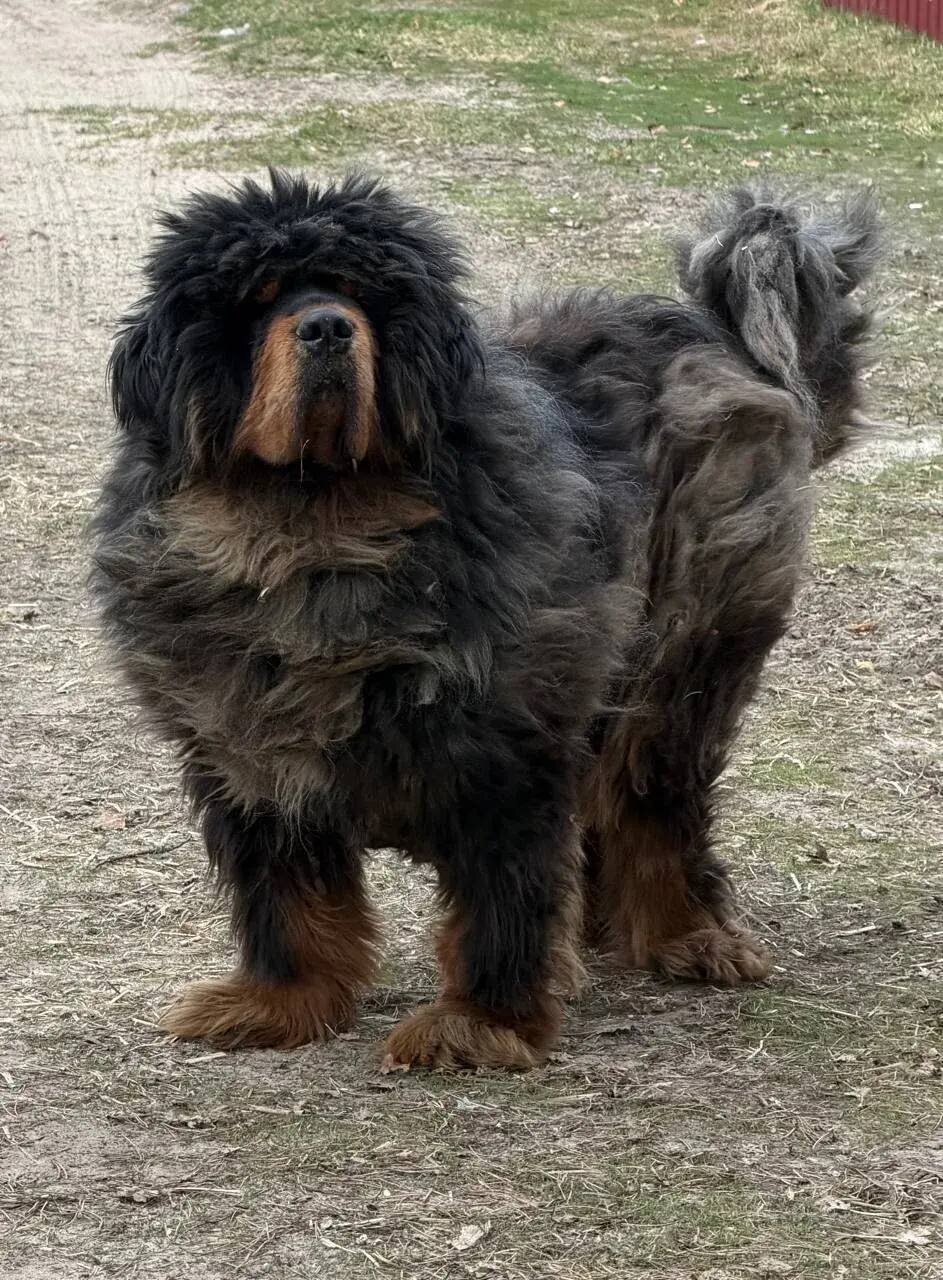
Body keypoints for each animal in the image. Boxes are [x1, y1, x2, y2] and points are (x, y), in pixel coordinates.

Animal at [92, 171, 880, 1069]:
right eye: (257, 302)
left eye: (363, 295)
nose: (327, 326)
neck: (316, 531)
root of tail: (711, 333)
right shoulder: (247, 751)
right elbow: (287, 897)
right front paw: (281, 1001)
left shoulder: (503, 750)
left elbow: (499, 900)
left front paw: (482, 1021)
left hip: (681, 662)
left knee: (652, 805)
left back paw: (684, 934)